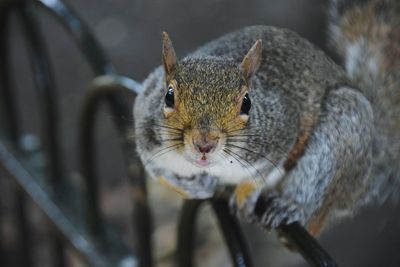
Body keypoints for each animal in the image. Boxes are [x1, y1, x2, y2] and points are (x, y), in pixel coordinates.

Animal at [134, 0, 400, 234]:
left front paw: (245, 195)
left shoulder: (281, 130)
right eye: (169, 96)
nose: (204, 144)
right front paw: (189, 186)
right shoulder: (146, 129)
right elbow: (156, 170)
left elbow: (262, 173)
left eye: (247, 103)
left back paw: (290, 206)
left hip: (344, 129)